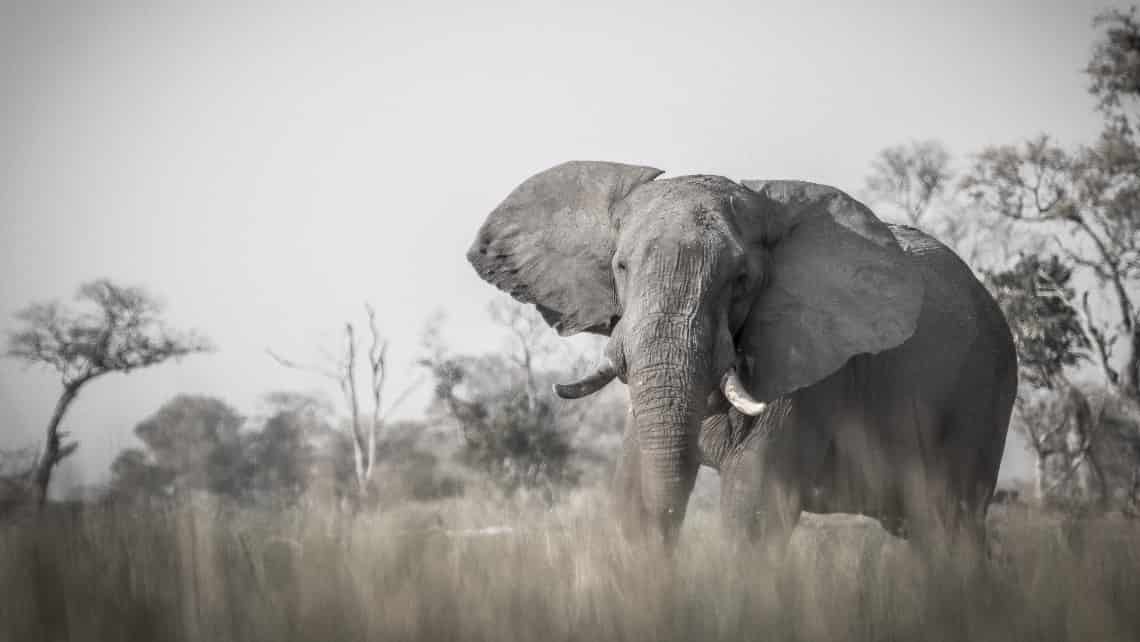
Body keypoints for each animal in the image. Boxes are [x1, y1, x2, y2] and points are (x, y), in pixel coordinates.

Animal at [462, 161, 1016, 551]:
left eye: (742, 280)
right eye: (620, 267)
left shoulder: (805, 367)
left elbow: (753, 508)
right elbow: (632, 496)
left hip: (983, 391)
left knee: (952, 527)